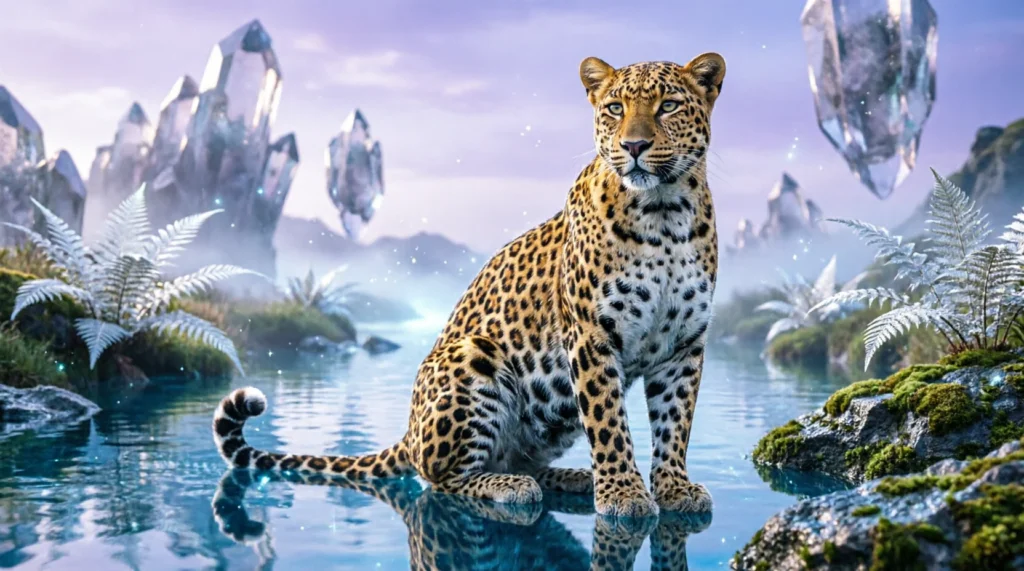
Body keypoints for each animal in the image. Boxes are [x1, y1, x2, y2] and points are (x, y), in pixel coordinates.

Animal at [214, 51, 725, 518]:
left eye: (668, 106)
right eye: (616, 108)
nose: (634, 145)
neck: (663, 214)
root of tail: (409, 430)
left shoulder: (684, 344)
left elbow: (675, 422)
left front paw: (673, 488)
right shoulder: (591, 336)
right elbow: (608, 421)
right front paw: (624, 494)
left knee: (520, 460)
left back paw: (572, 477)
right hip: (474, 355)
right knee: (441, 477)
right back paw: (513, 486)